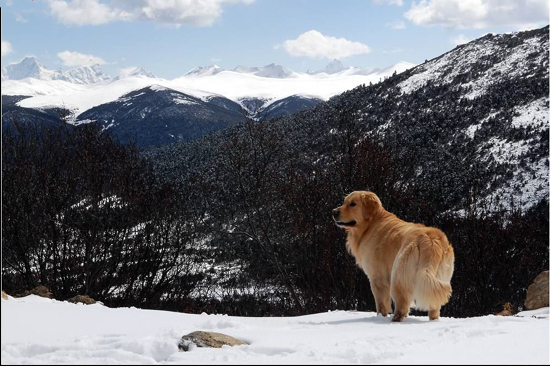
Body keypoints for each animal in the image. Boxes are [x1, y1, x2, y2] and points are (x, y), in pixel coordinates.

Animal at [334, 192, 454, 320]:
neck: (371, 224)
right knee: (434, 307)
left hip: (398, 275)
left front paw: (380, 317)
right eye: (344, 202)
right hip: (440, 277)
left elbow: (381, 304)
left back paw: (395, 319)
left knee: (402, 303)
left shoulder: (377, 278)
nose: (334, 212)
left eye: (353, 204)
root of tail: (430, 239)